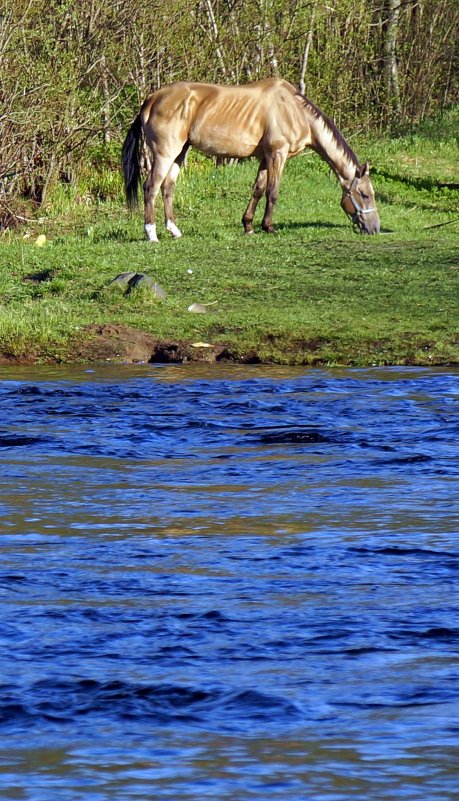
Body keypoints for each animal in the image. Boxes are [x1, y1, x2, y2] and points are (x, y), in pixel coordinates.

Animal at [122, 77, 380, 241]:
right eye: (365, 194)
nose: (375, 228)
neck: (295, 111)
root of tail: (151, 99)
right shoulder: (278, 154)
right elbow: (273, 192)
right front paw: (269, 227)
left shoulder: (266, 157)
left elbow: (258, 189)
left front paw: (248, 225)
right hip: (165, 153)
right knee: (151, 187)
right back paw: (151, 234)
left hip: (180, 153)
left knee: (168, 188)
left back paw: (174, 230)